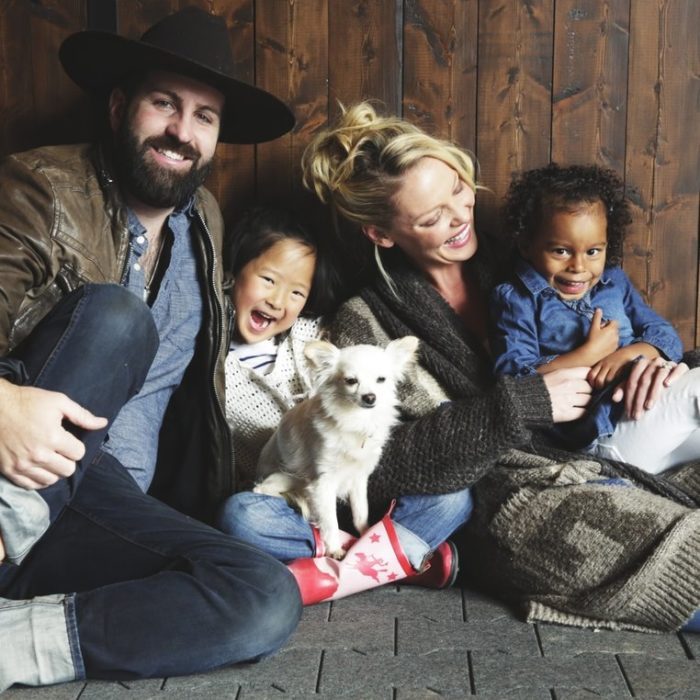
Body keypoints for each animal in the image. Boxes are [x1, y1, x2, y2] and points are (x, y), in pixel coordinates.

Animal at [258, 336, 422, 560]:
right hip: (285, 477)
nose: (370, 397)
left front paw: (365, 535)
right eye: (351, 381)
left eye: (381, 380)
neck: (356, 422)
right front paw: (335, 549)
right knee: (261, 489)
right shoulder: (323, 483)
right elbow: (330, 522)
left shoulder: (358, 479)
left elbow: (361, 512)